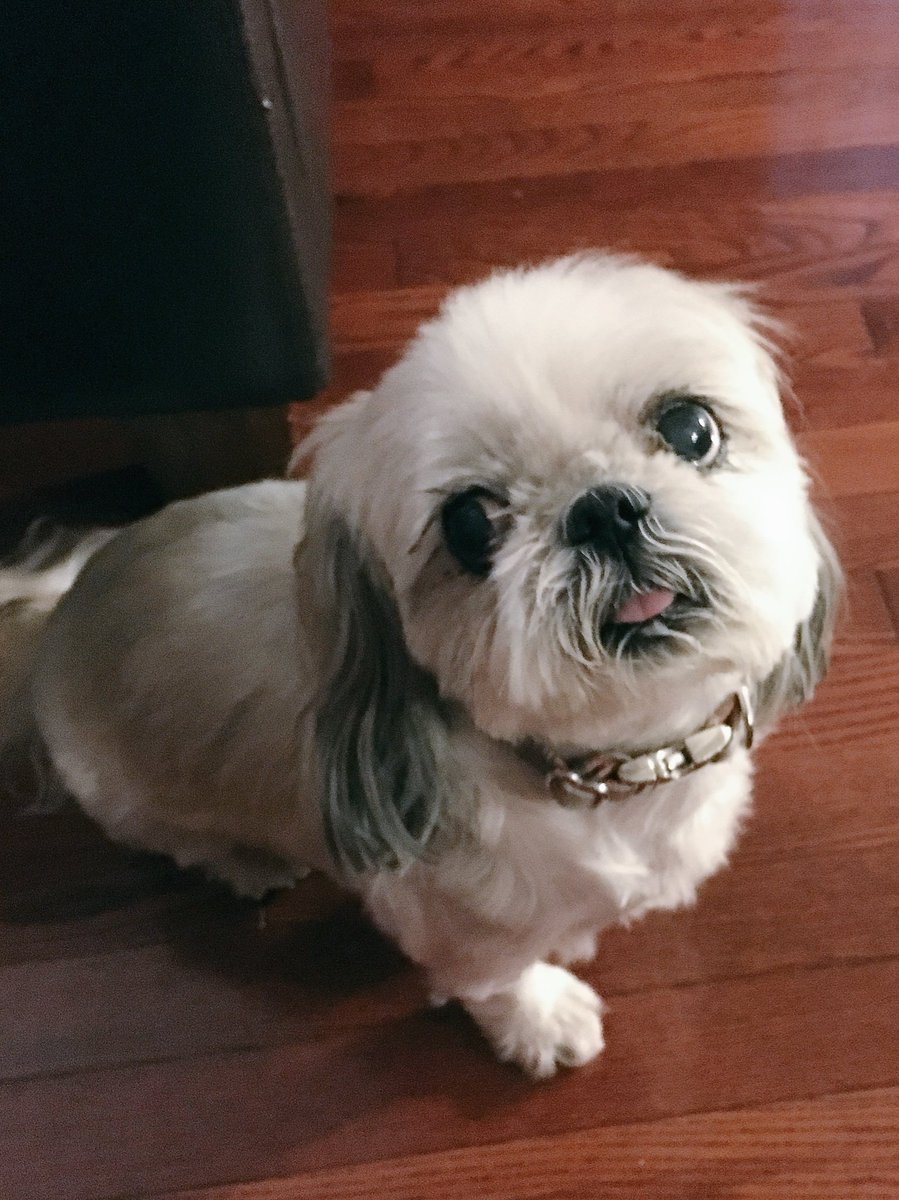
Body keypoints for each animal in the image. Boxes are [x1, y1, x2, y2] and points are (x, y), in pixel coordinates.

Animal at [0, 254, 840, 1077]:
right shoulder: (460, 928)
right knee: (189, 842)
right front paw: (539, 1021)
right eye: (468, 524)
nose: (602, 510)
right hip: (128, 800)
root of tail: (52, 620)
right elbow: (494, 979)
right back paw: (251, 864)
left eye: (690, 428)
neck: (610, 768)